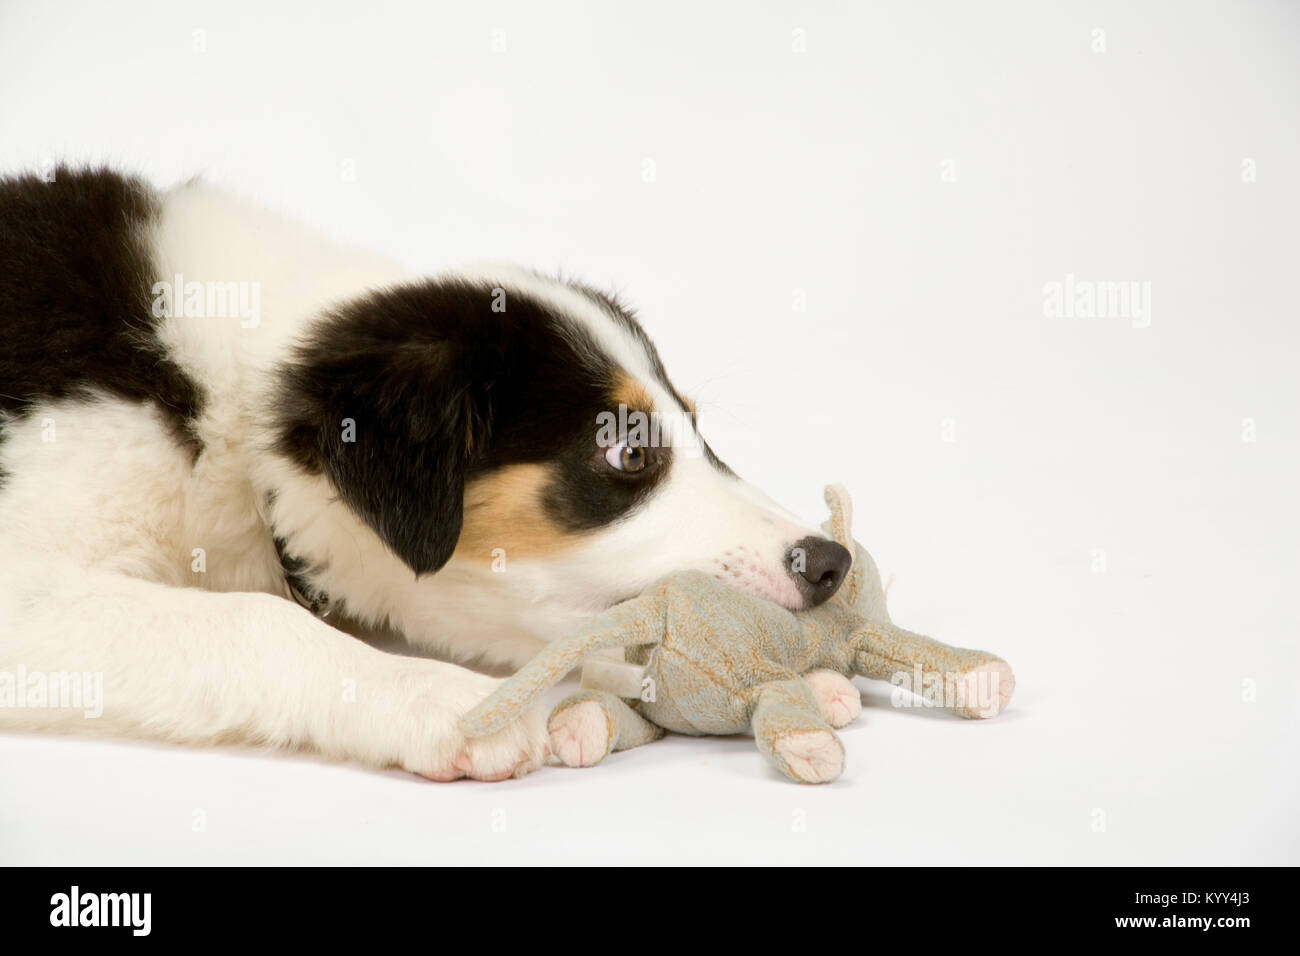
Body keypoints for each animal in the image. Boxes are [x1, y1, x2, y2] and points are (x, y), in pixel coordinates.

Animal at [0, 167, 852, 780]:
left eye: (698, 427)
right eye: (629, 453)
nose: (832, 564)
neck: (235, 421)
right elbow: (256, 619)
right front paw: (436, 699)